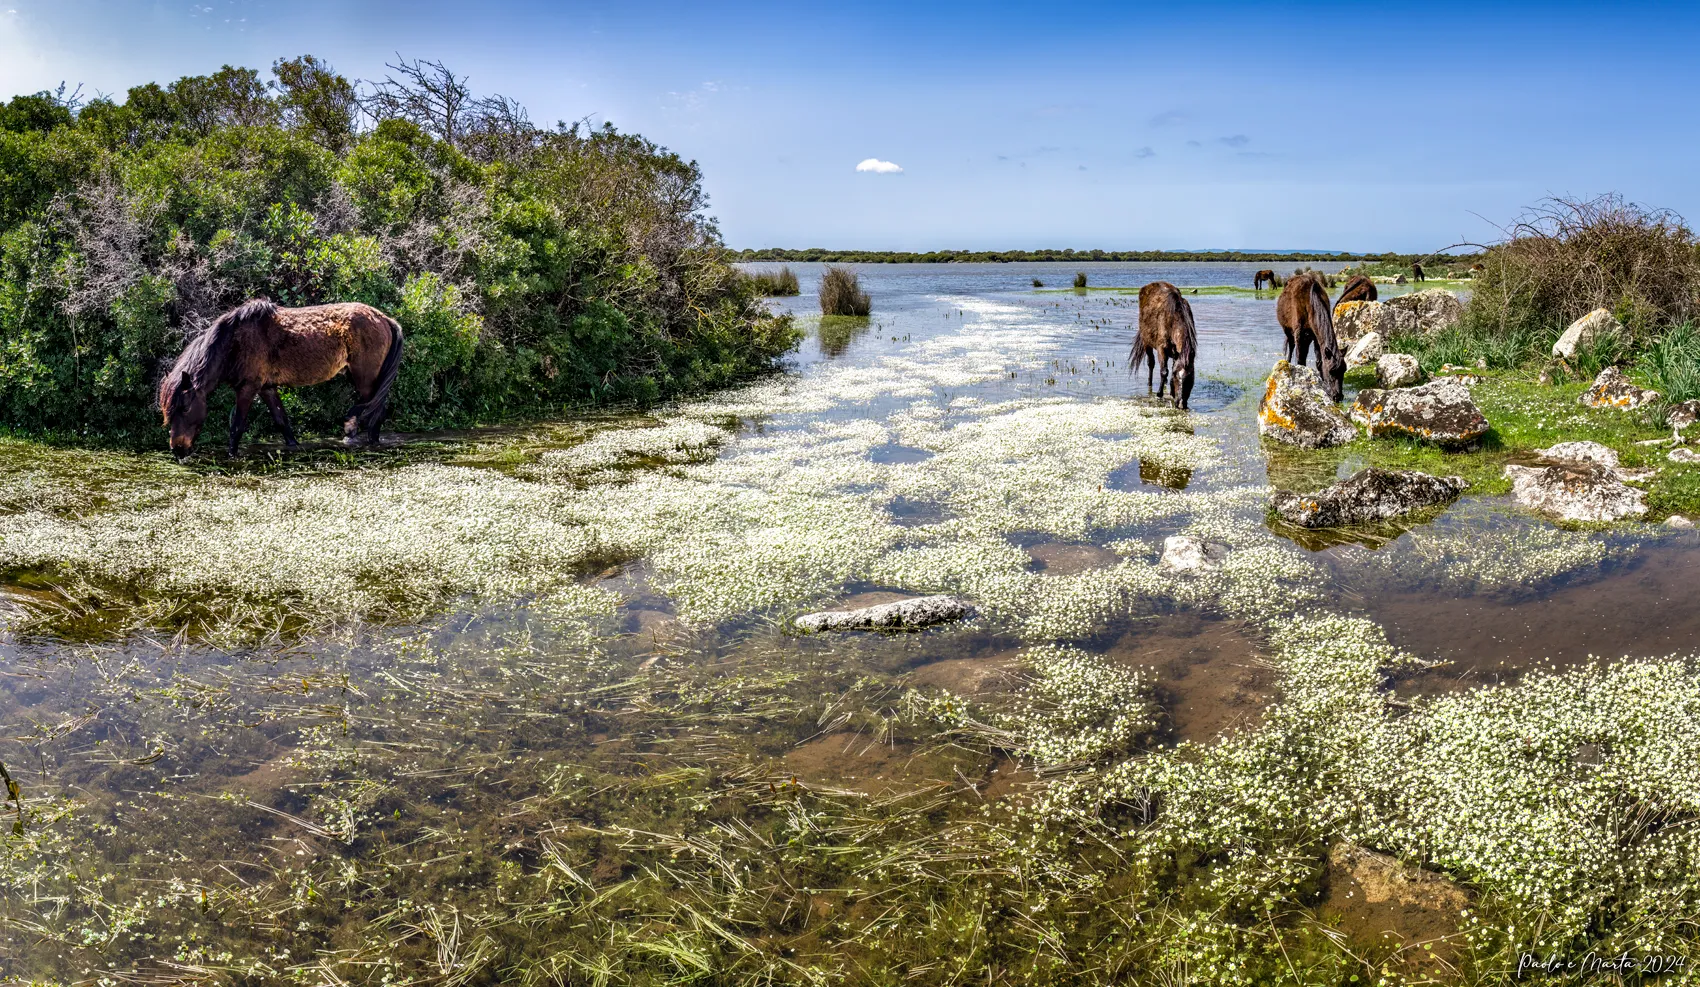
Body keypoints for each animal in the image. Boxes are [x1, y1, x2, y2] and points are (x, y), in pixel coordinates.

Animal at [162, 298, 408, 455]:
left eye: (185, 408)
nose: (177, 450)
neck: (234, 342)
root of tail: (385, 319)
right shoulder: (267, 388)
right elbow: (282, 422)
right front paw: (294, 445)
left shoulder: (248, 388)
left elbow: (237, 427)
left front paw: (232, 455)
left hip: (365, 378)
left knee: (375, 410)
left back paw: (360, 434)